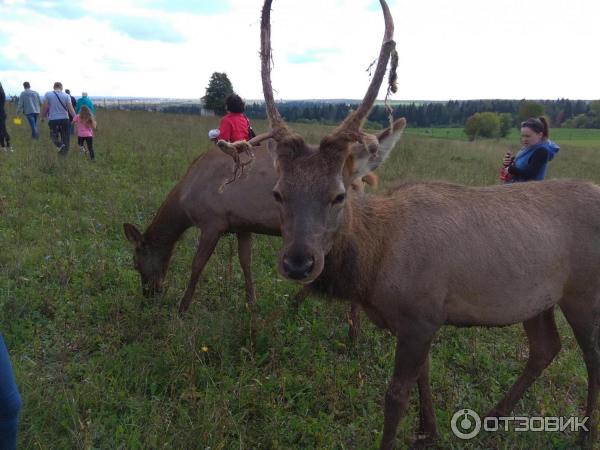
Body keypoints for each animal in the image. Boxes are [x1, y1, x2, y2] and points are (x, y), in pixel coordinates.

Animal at [241, 0, 600, 448]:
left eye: (339, 194)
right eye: (278, 193)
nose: (298, 262)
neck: (374, 266)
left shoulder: (420, 314)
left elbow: (396, 395)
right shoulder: (421, 319)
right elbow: (422, 378)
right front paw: (428, 431)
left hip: (583, 291)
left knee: (591, 356)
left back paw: (584, 435)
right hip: (539, 297)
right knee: (546, 347)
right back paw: (494, 416)